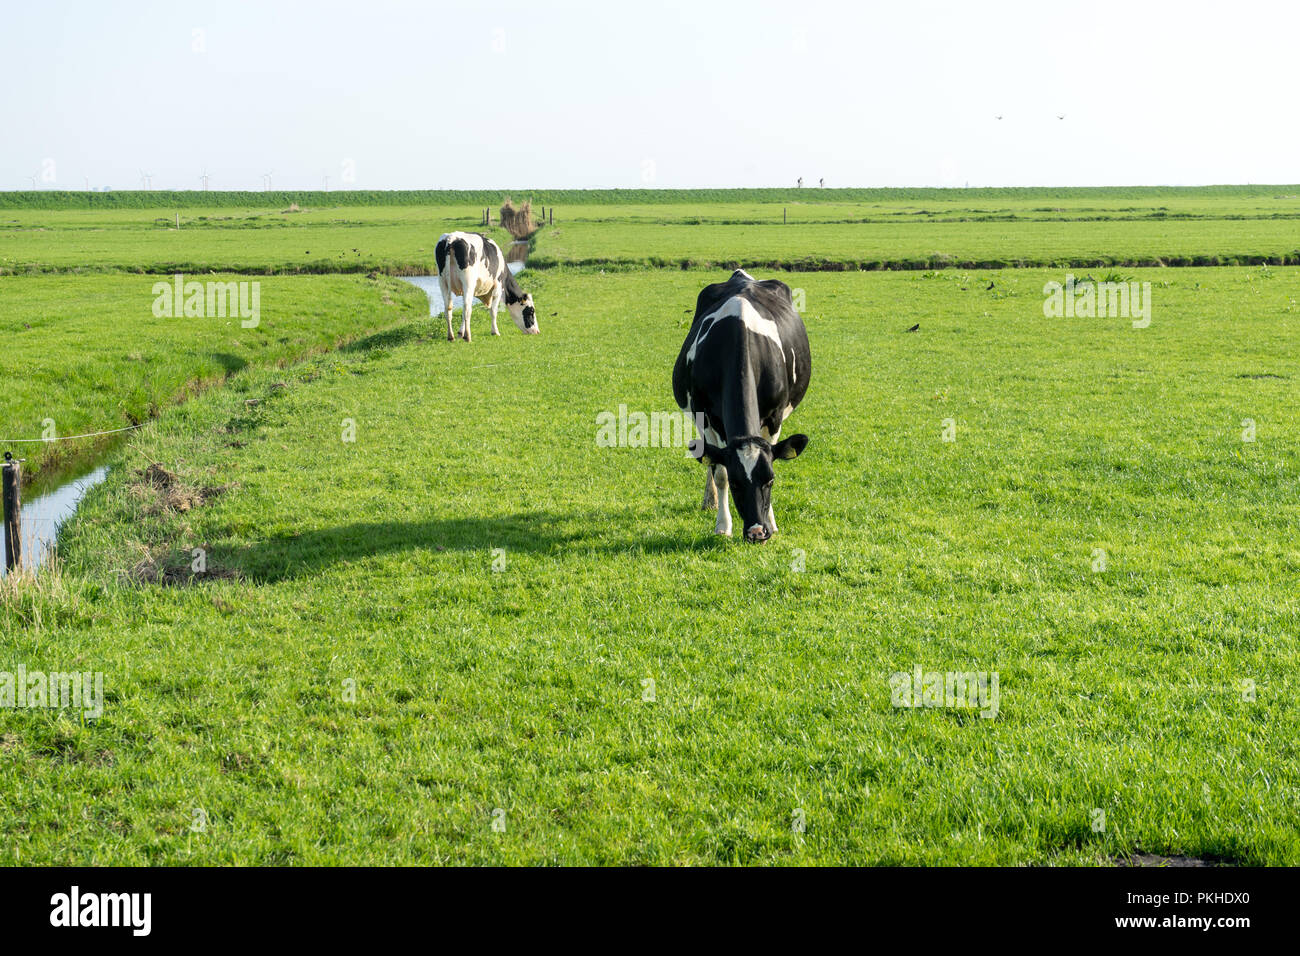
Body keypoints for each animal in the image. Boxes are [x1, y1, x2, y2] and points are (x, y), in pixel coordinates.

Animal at [676, 269, 806, 541]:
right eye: (737, 483)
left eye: (770, 481)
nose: (757, 532)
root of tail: (741, 275)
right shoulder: (705, 415)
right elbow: (719, 470)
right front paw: (723, 526)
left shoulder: (775, 417)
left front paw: (772, 522)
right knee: (708, 457)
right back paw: (710, 500)